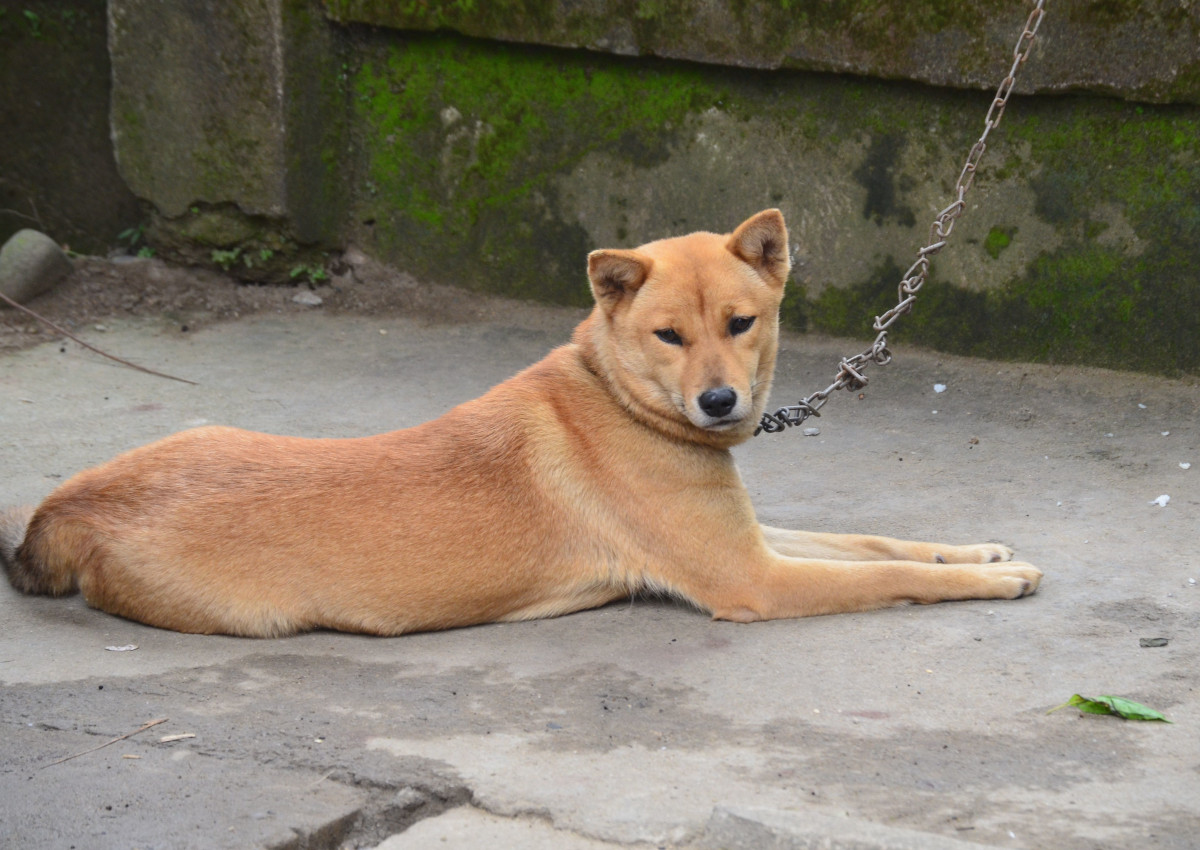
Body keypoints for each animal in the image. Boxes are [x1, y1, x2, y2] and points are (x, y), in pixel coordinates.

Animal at [0, 211, 1041, 638]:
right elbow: (886, 573)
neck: (618, 395)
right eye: (670, 335)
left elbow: (875, 541)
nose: (719, 404)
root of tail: (67, 508)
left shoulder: (749, 538)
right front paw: (989, 583)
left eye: (741, 324)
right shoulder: (753, 579)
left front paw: (979, 551)